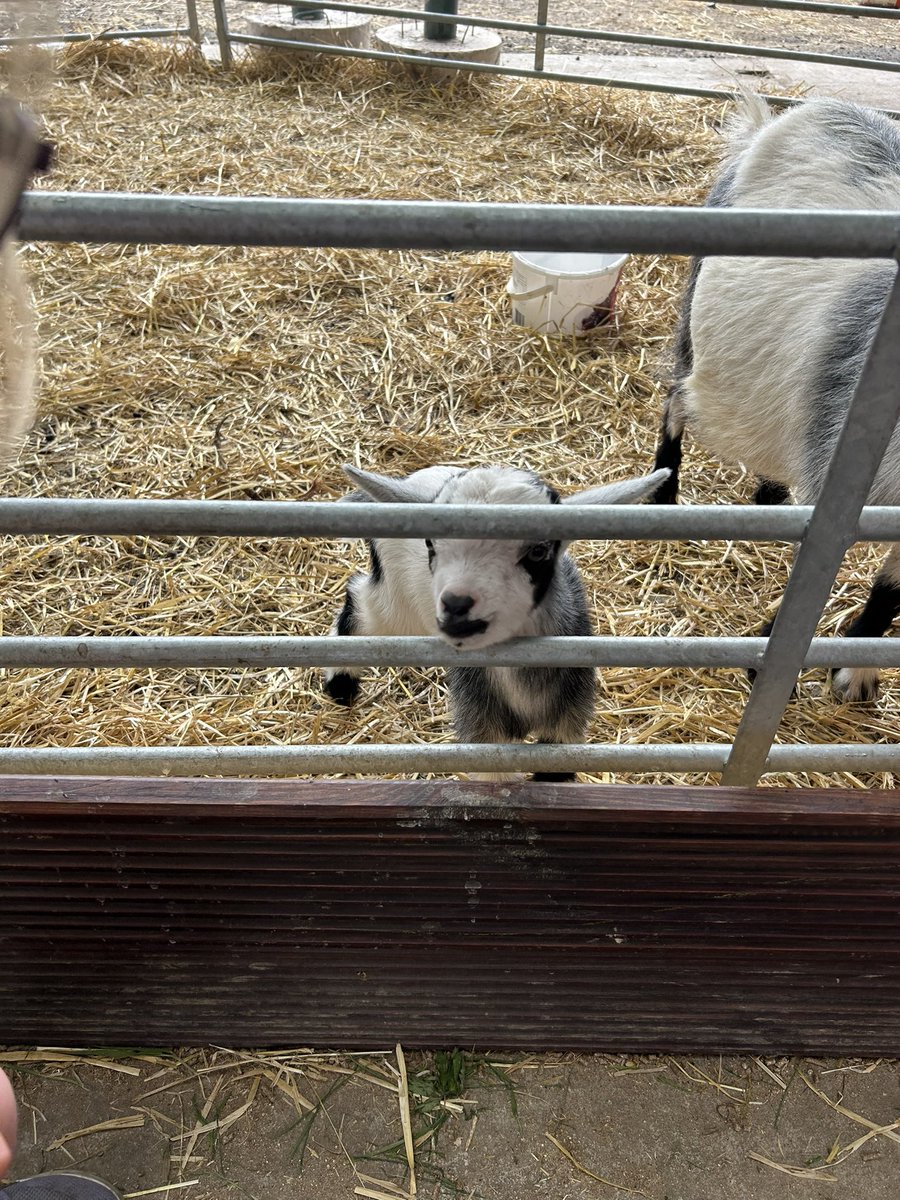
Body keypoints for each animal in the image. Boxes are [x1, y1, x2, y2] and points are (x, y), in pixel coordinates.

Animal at [324, 462, 667, 780]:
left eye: (539, 551)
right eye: (430, 543)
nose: (456, 605)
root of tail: (409, 481)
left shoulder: (564, 730)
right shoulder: (484, 736)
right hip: (399, 605)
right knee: (360, 601)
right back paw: (340, 682)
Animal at [652, 96, 900, 701]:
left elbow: (893, 590)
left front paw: (856, 672)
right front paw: (766, 661)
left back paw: (769, 494)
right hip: (698, 323)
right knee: (676, 398)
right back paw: (663, 495)